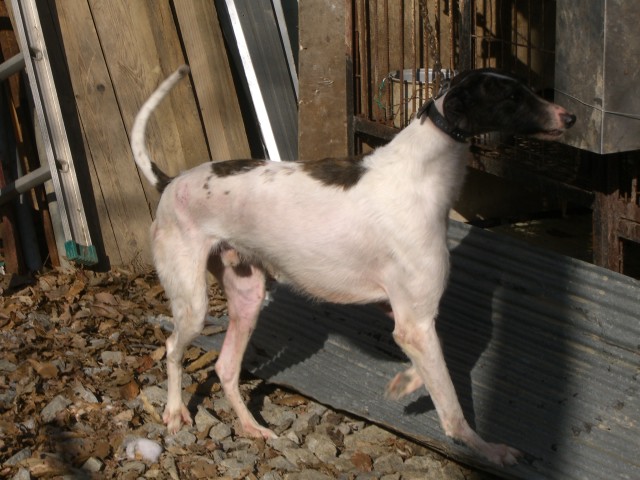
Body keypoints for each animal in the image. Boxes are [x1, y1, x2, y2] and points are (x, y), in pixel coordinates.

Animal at [131, 65, 575, 466]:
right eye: (512, 97)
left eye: (526, 88)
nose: (569, 117)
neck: (422, 171)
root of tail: (171, 181)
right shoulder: (414, 321)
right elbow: (451, 407)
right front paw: (488, 449)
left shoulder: (403, 313)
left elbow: (429, 363)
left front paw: (404, 382)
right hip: (193, 304)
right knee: (171, 347)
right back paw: (174, 412)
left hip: (247, 297)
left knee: (224, 367)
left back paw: (252, 427)